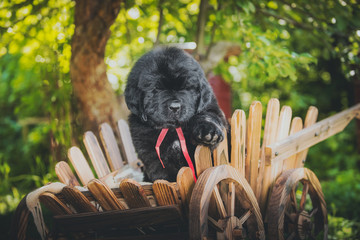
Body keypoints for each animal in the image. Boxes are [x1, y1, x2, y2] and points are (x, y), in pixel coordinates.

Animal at [125, 47, 226, 182]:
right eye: (157, 89)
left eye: (187, 87)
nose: (175, 106)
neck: (173, 129)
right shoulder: (150, 152)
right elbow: (162, 172)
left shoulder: (211, 110)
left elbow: (207, 116)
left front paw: (209, 132)